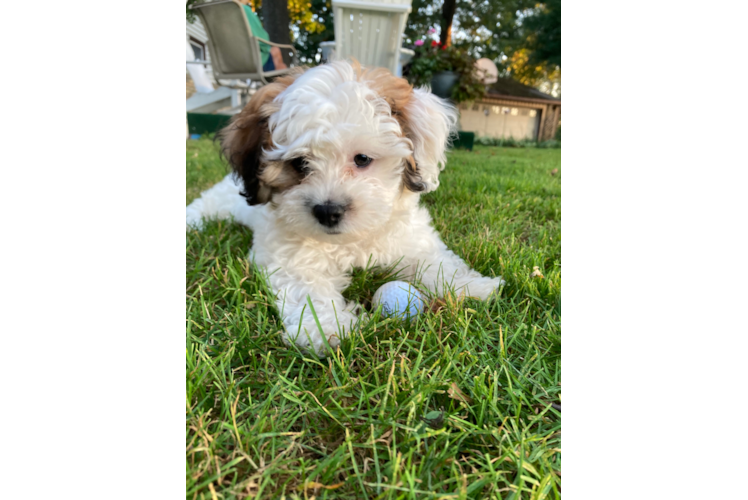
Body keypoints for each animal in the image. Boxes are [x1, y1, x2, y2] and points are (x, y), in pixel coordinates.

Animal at [186, 59, 502, 356]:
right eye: (299, 164)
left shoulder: (412, 240)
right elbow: (308, 288)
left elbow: (437, 264)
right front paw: (326, 327)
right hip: (224, 199)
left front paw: (472, 288)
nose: (328, 211)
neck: (352, 241)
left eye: (362, 159)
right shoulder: (290, 258)